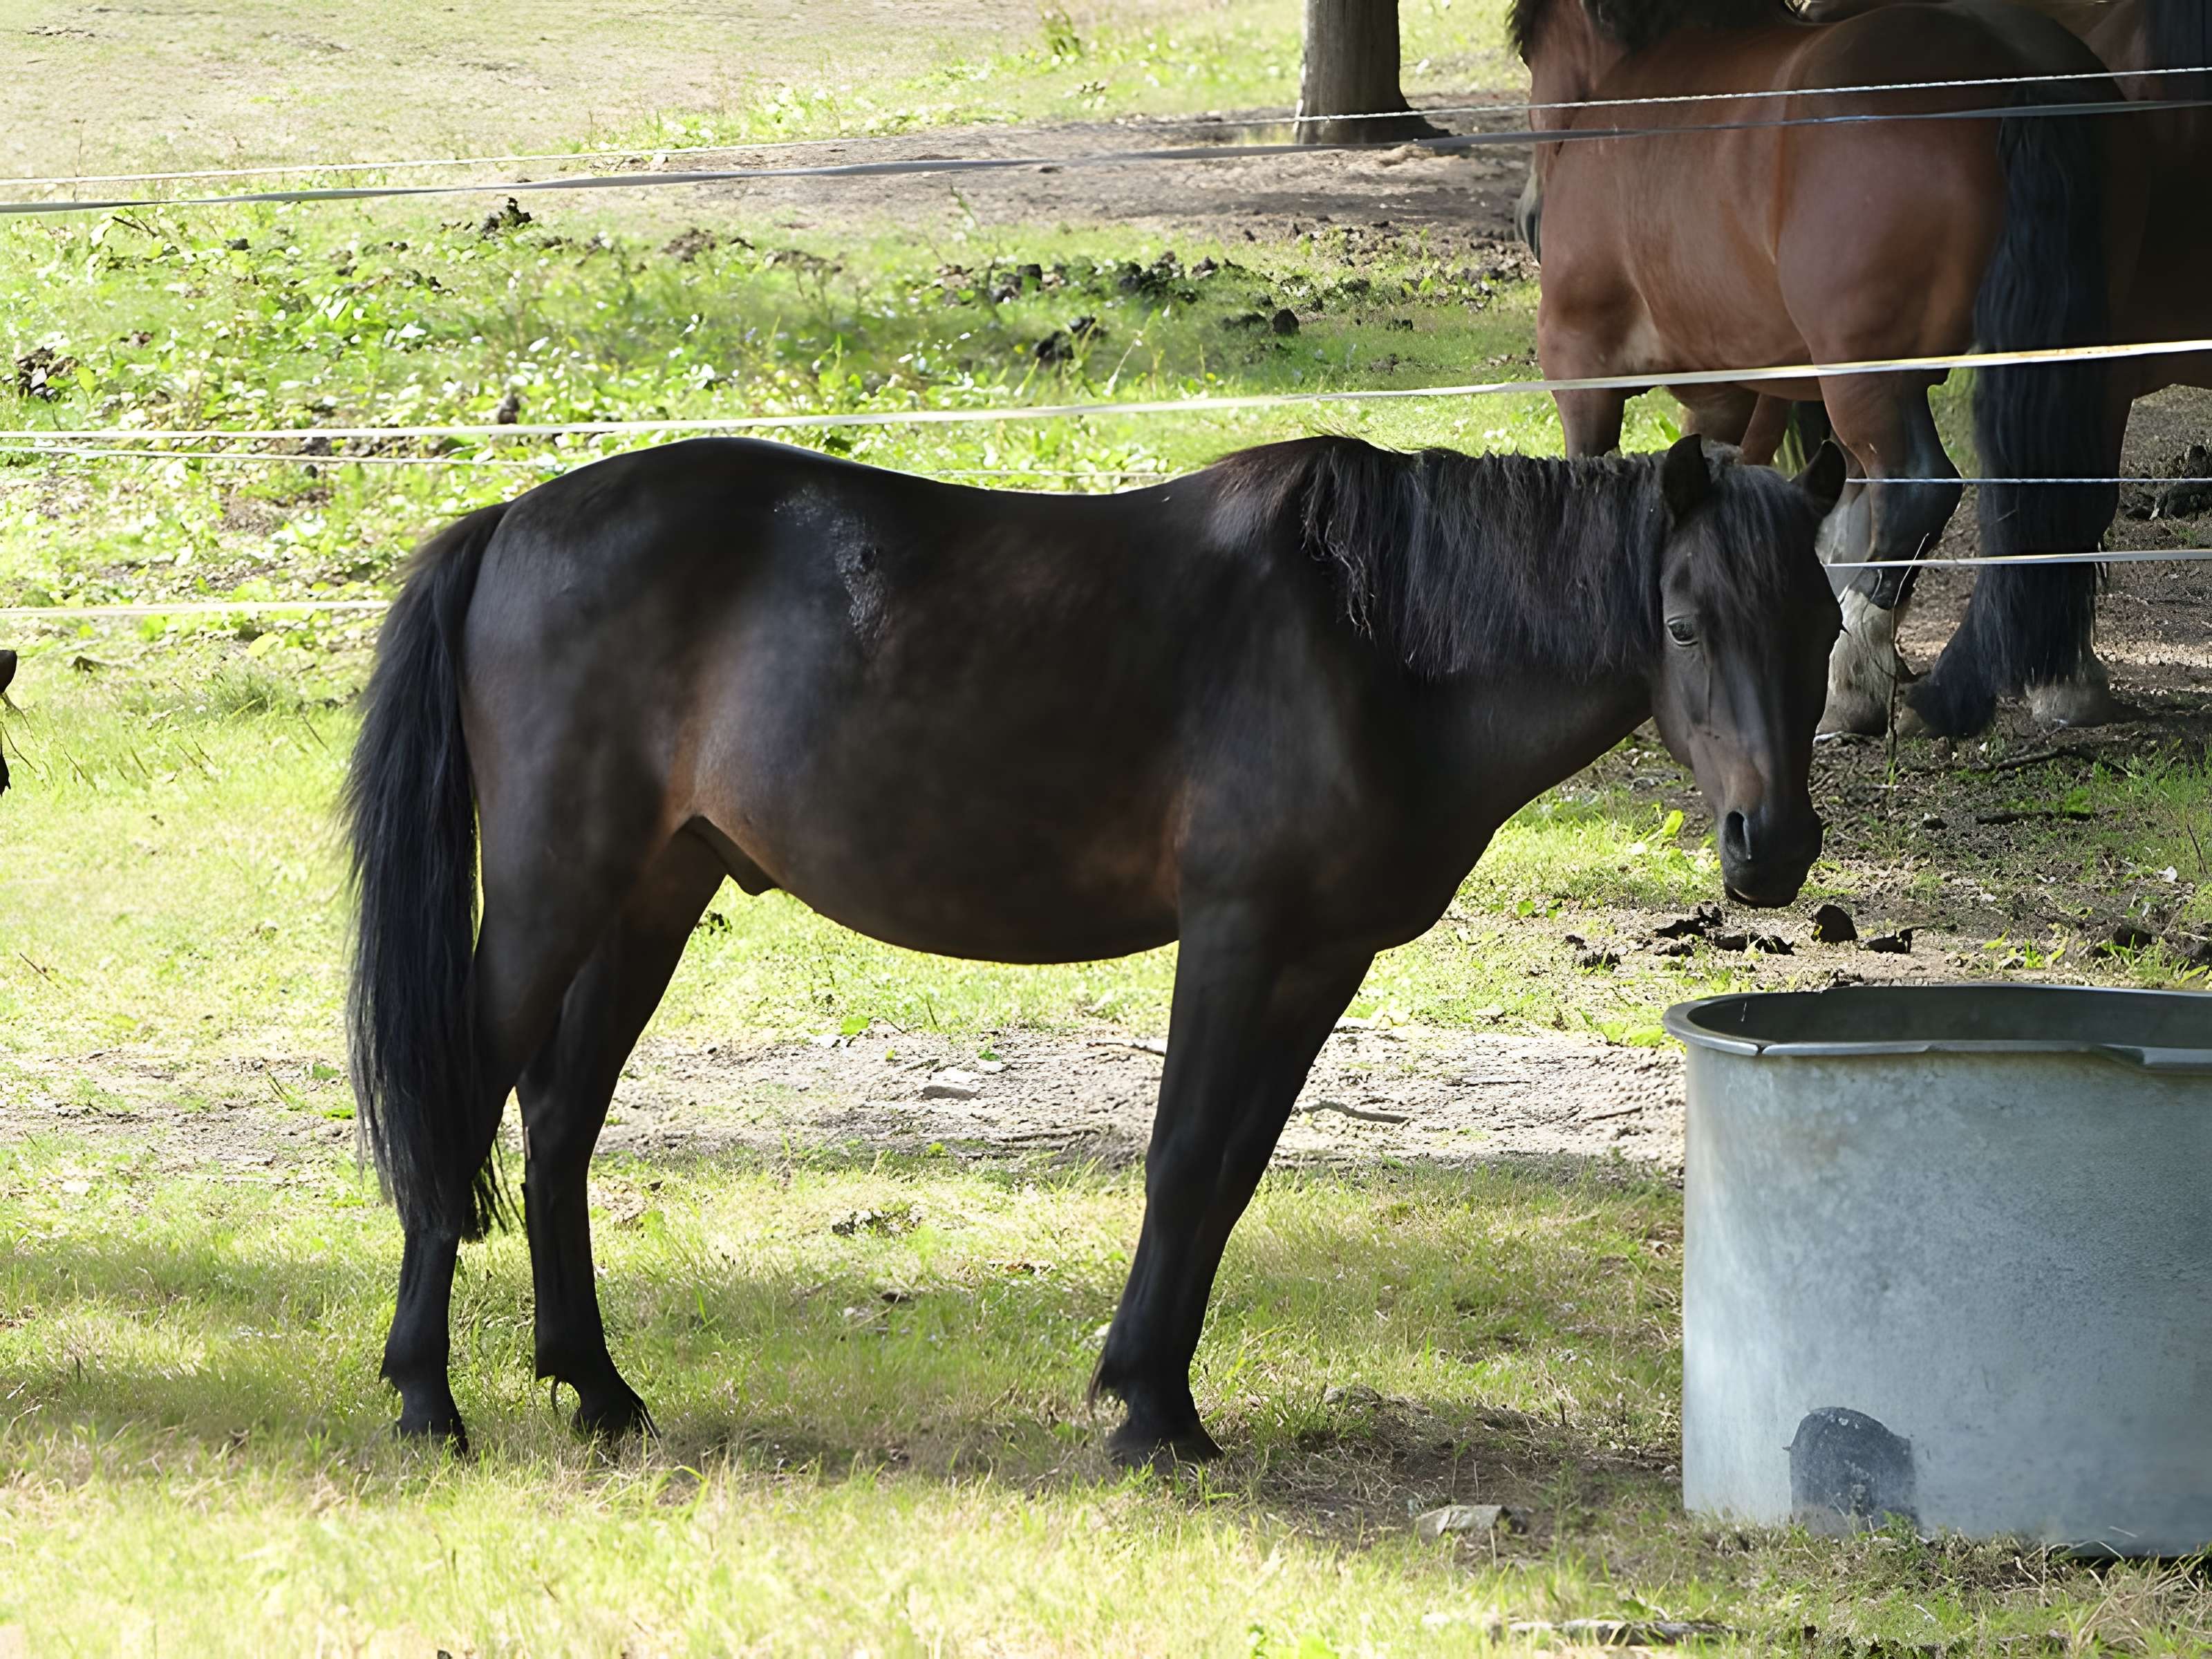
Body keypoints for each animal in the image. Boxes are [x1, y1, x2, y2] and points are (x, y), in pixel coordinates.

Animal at [345, 432, 1845, 1463]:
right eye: (1689, 620)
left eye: (1826, 621)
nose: (1771, 846)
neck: (1368, 648)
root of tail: (512, 522)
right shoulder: (1233, 937)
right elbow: (1180, 1162)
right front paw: (1144, 1413)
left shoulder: (1322, 962)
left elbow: (1230, 1178)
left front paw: (1161, 1392)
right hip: (554, 888)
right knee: (466, 1101)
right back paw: (427, 1397)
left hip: (654, 889)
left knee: (558, 1120)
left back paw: (596, 1389)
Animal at [1511, 0, 2149, 739]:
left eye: (1530, 51)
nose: (1530, 219)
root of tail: (2017, 73)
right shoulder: (1736, 393)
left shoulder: (1581, 362)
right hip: (2079, 363)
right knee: (2062, 497)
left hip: (1866, 377)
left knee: (1921, 490)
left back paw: (1862, 675)